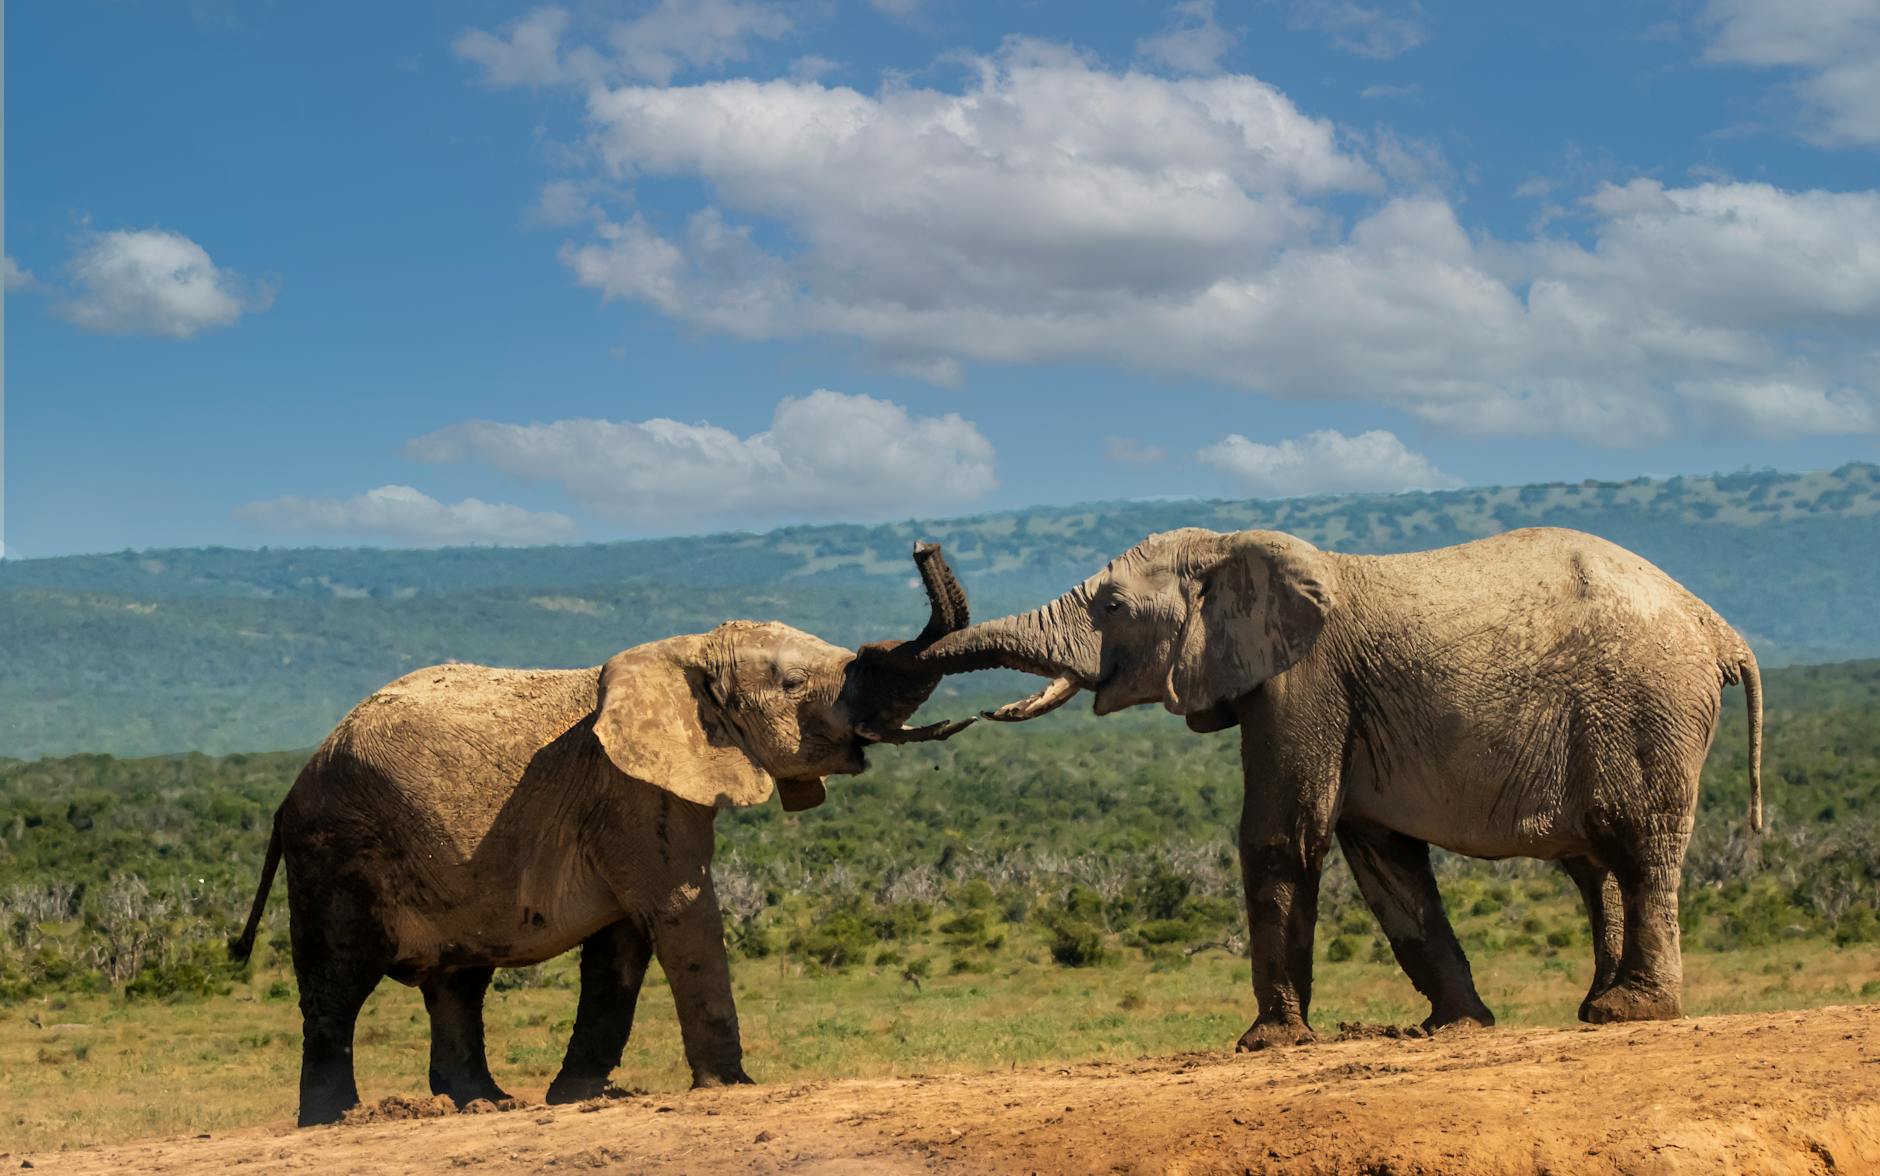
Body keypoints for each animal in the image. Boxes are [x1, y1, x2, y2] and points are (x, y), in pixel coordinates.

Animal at [231, 544, 975, 1126]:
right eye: (794, 683)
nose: (923, 545)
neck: (687, 651)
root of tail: (292, 790)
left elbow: (624, 944)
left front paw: (576, 1097)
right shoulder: (632, 794)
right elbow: (680, 913)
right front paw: (732, 1088)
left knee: (457, 984)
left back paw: (487, 1104)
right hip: (336, 849)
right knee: (338, 982)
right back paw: (336, 1120)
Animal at [902, 526, 1763, 1047]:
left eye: (1112, 606)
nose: (923, 545)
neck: (1231, 549)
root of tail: (1718, 627)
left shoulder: (1303, 683)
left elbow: (1283, 836)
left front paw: (1267, 1045)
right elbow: (1383, 859)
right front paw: (1455, 1029)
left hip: (1646, 706)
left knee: (1639, 848)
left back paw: (1632, 1012)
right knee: (1597, 867)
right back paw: (1595, 1011)